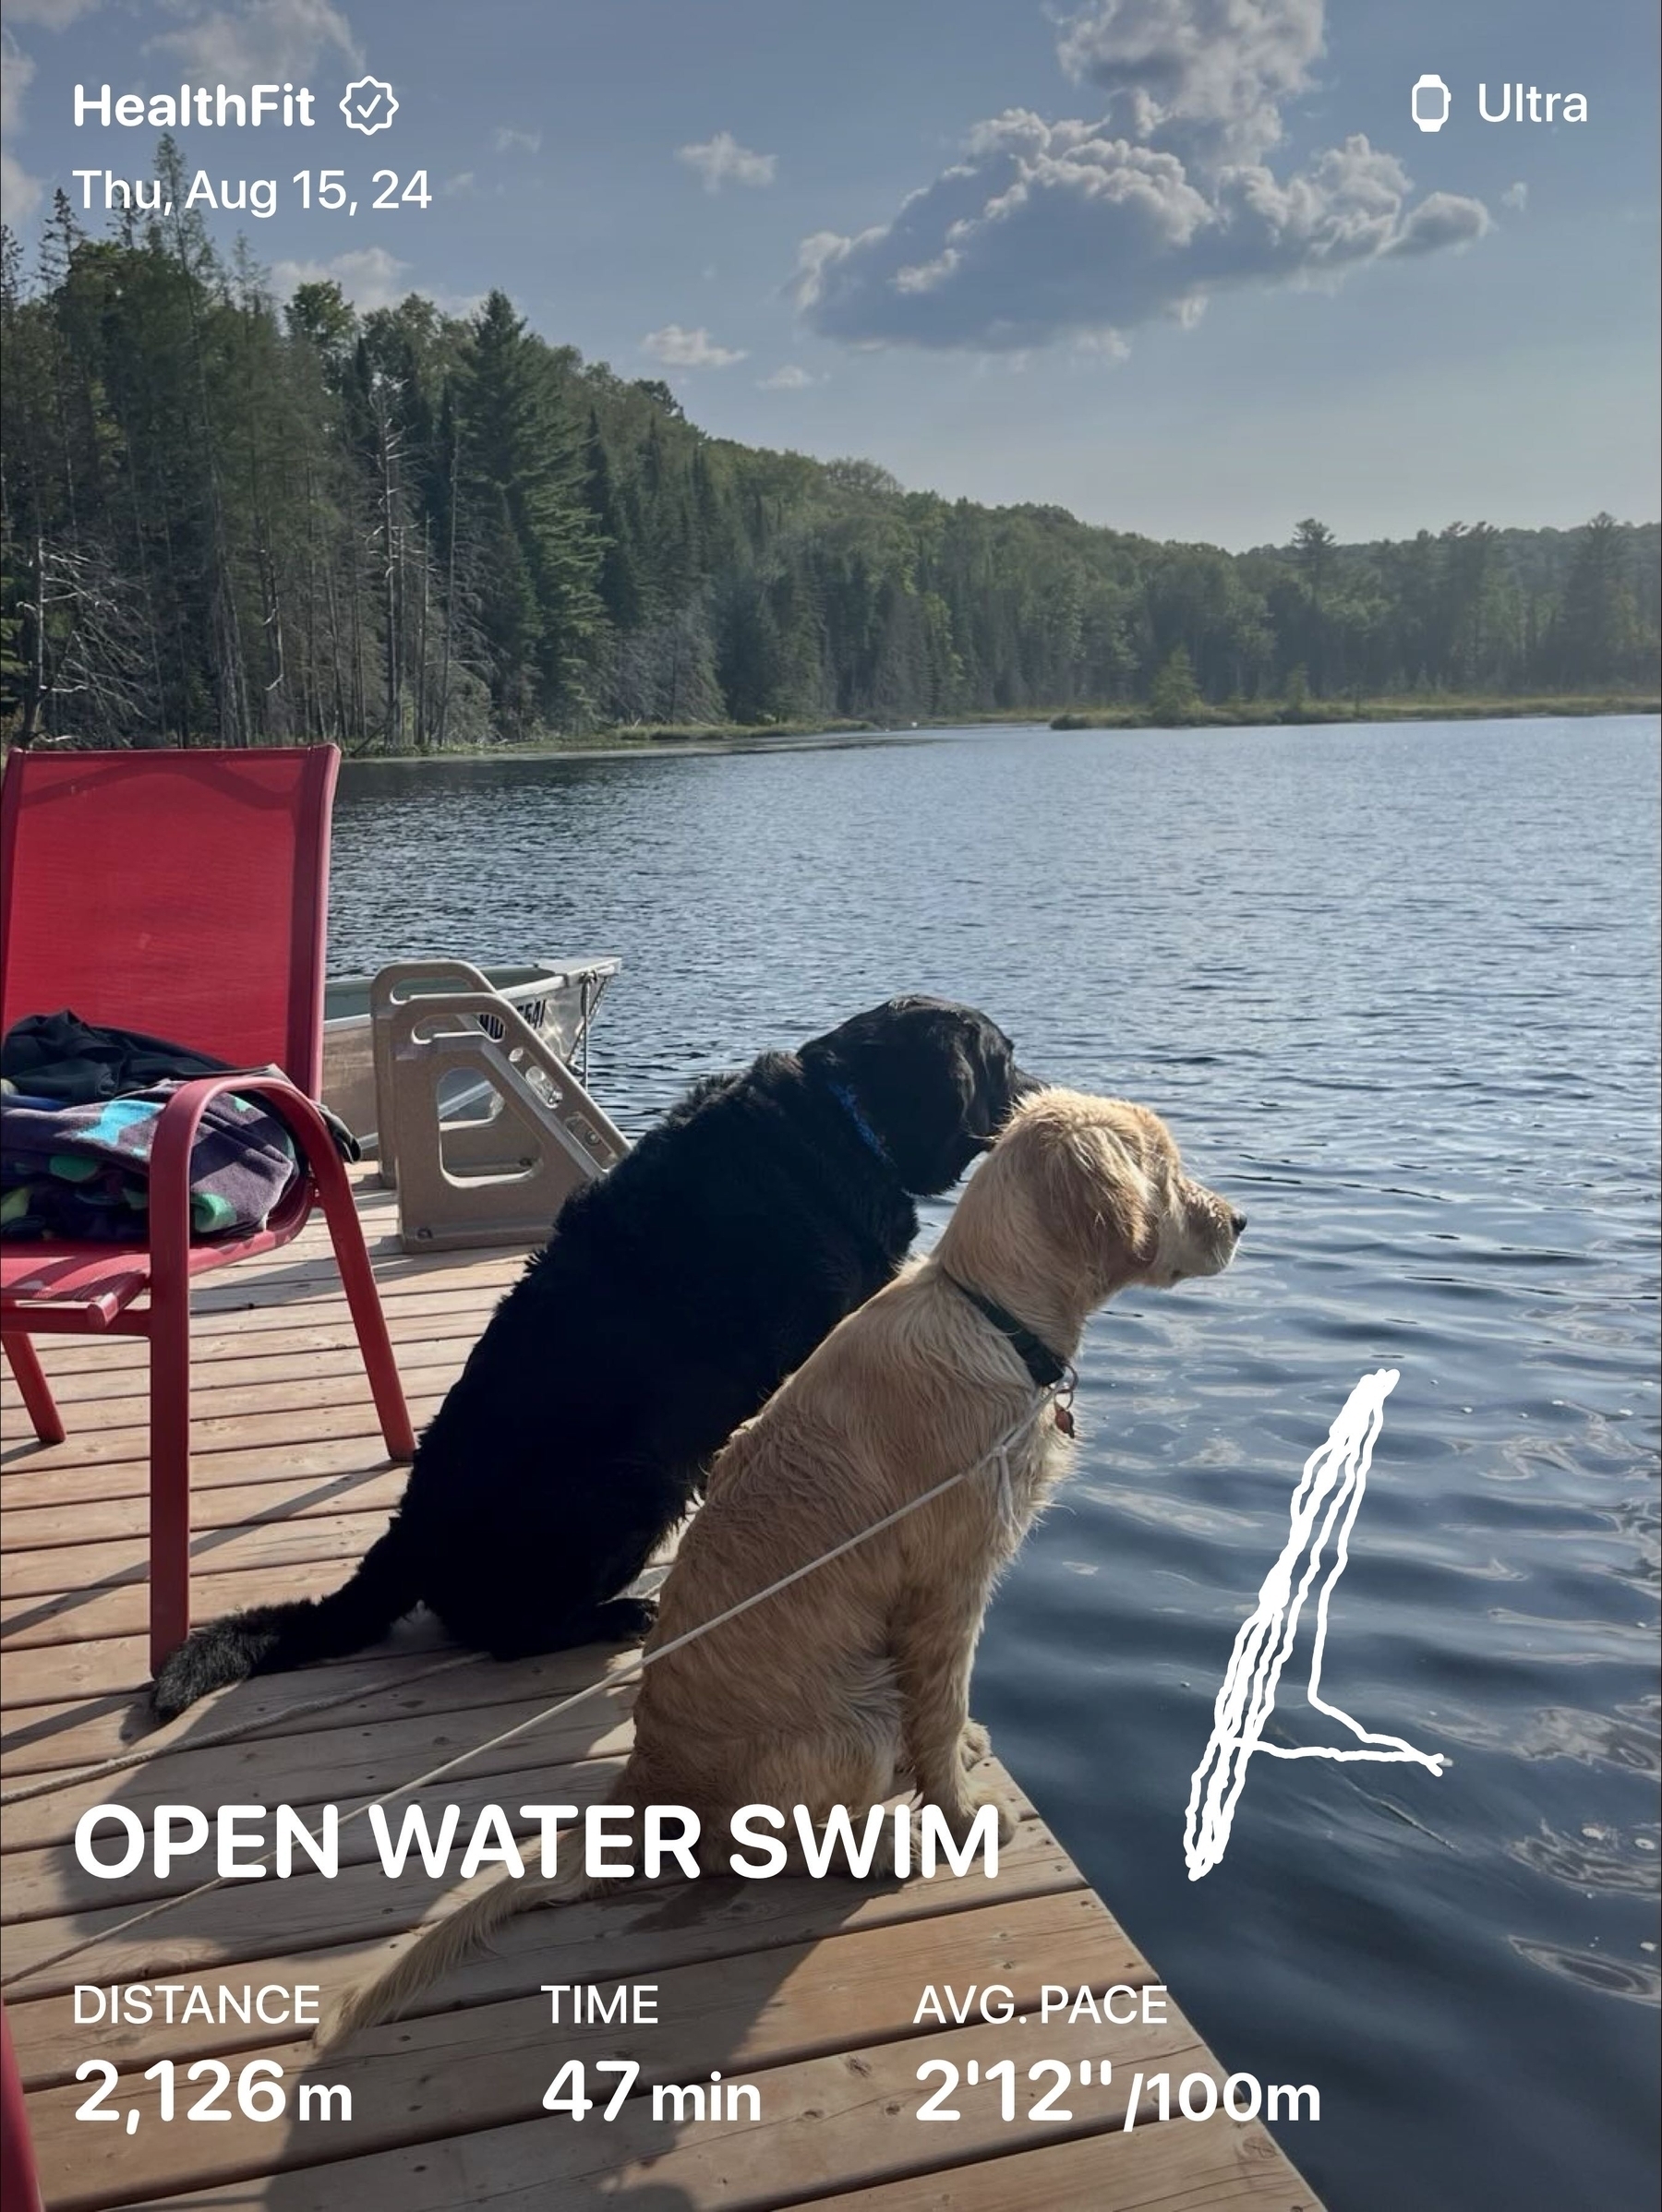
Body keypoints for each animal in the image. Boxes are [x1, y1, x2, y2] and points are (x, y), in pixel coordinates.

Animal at [155, 995, 1040, 1716]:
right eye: (1004, 1058)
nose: (1039, 1090)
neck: (843, 1116)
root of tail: (409, 1538)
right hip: (637, 1480)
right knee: (509, 1633)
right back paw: (617, 1616)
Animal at [325, 1084, 1239, 2035]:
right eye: (1168, 1170)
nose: (1241, 1222)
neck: (993, 1317)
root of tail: (649, 1793)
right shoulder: (951, 1584)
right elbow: (942, 1705)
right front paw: (961, 1811)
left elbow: (944, 1711)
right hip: (855, 1712)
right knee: (791, 1843)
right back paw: (893, 1844)